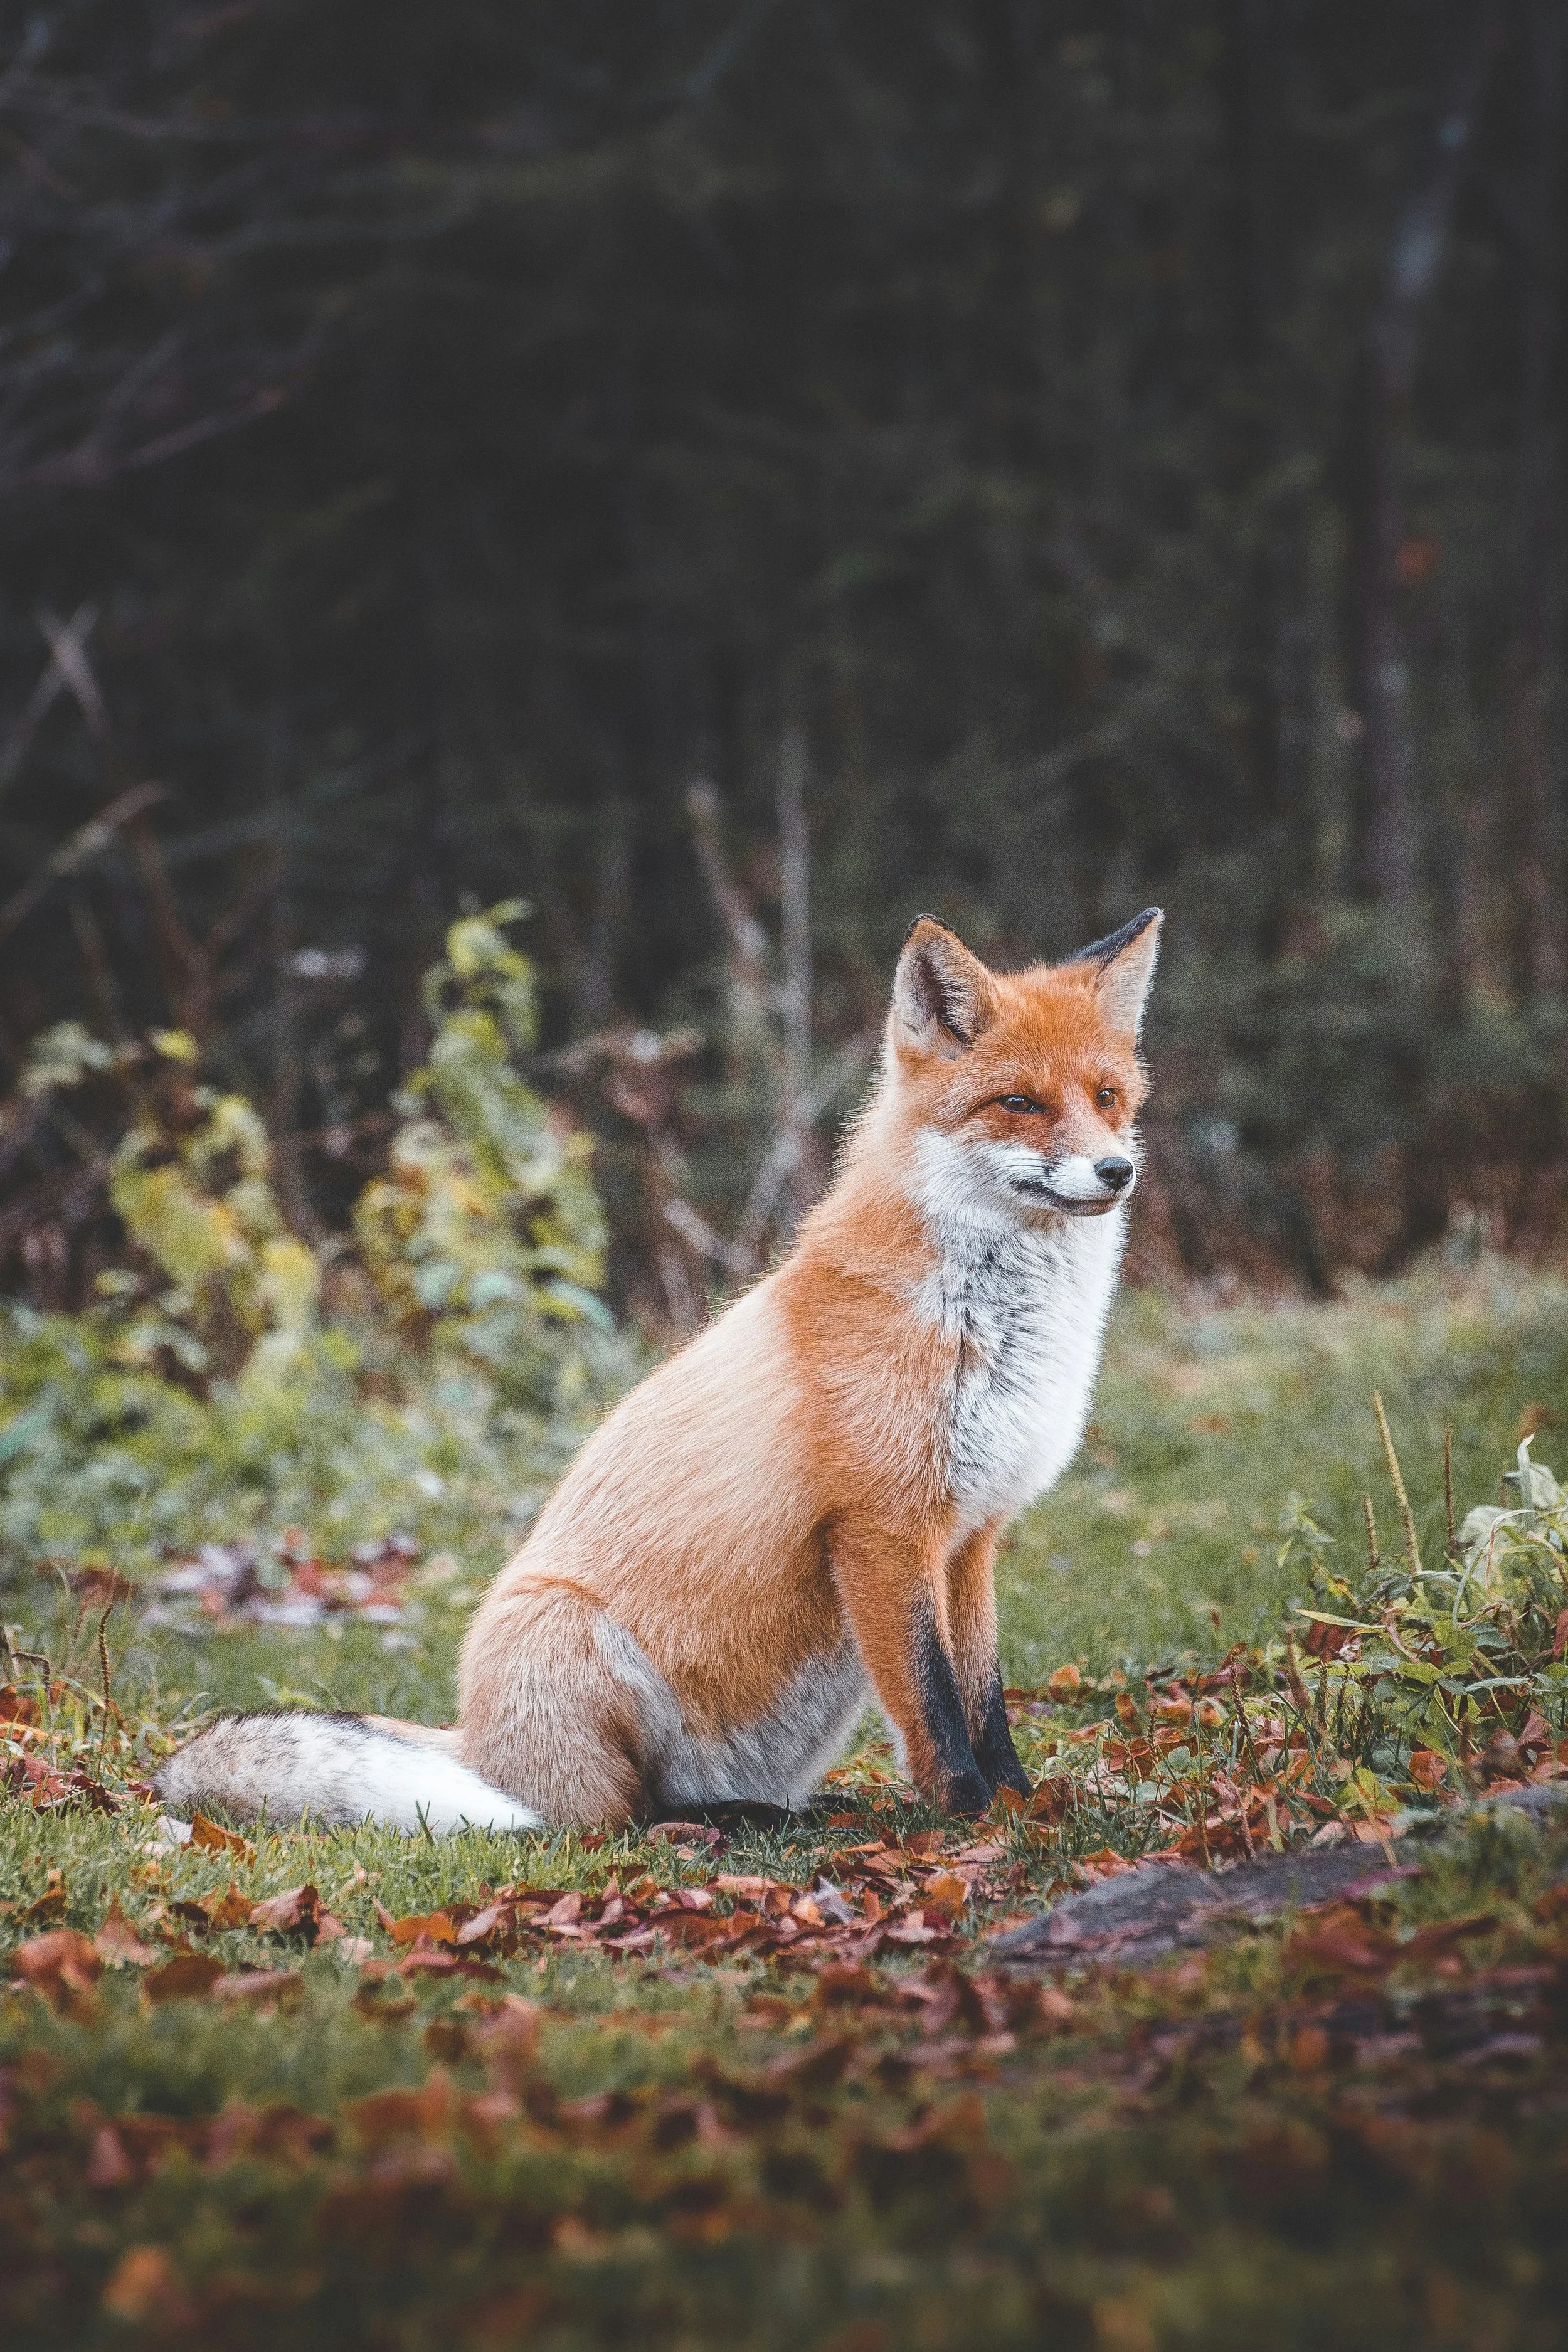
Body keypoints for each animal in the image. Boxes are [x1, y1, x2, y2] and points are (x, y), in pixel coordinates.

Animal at [157, 907, 1161, 1835]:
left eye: (1107, 1096)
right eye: (1020, 1104)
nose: (1116, 1170)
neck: (999, 1328)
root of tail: (475, 1747)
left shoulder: (972, 1534)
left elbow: (985, 1700)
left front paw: (1024, 1807)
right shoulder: (883, 1530)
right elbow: (936, 1710)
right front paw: (973, 1822)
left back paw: (781, 1812)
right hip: (570, 1639)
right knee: (613, 1819)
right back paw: (722, 1823)